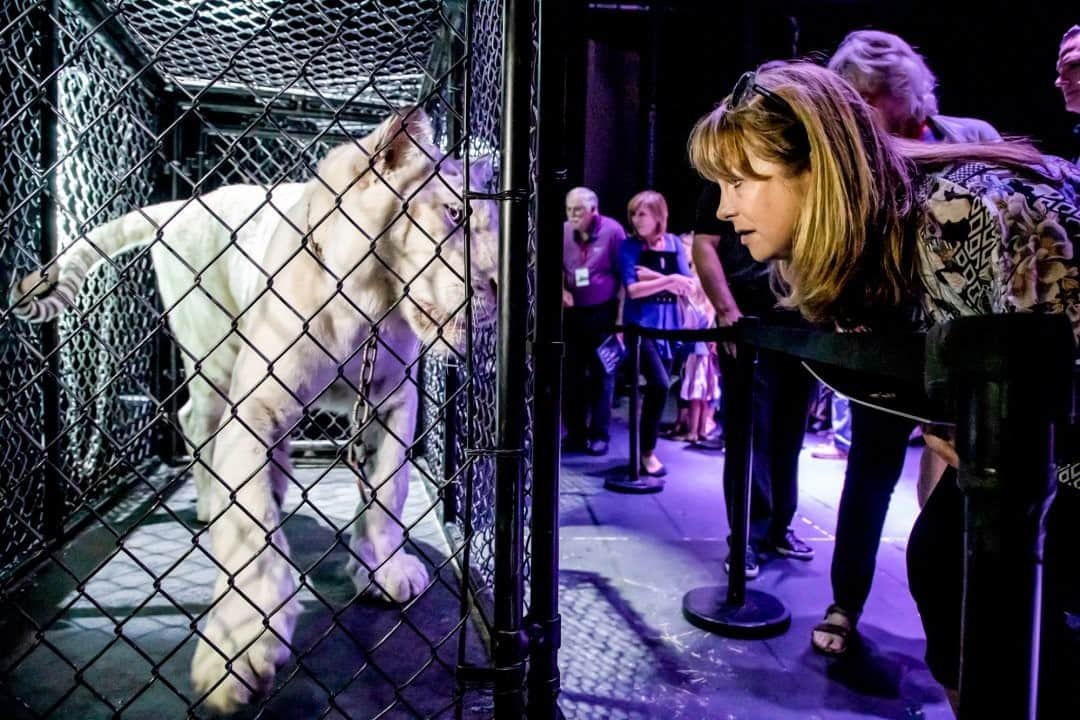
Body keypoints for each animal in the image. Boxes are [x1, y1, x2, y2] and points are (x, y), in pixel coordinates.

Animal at [8, 110, 498, 712]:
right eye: (455, 214)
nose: (496, 289)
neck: (372, 309)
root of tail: (183, 204)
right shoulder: (257, 403)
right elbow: (251, 529)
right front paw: (238, 650)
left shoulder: (393, 400)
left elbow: (388, 489)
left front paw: (383, 568)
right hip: (212, 358)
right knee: (197, 425)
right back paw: (212, 503)